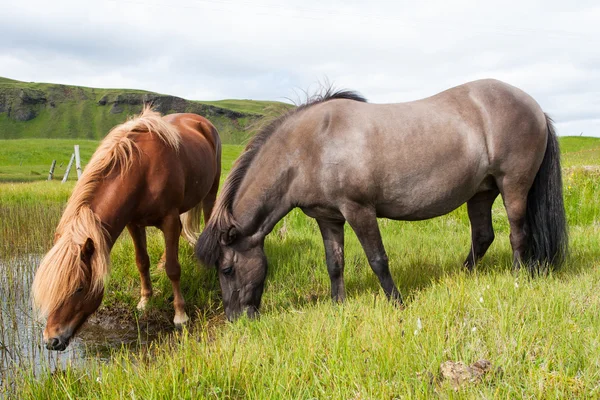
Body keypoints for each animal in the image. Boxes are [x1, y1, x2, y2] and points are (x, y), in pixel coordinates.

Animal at [31, 107, 221, 350]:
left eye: (79, 288)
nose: (51, 340)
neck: (143, 170)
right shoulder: (134, 224)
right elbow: (142, 262)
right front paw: (145, 301)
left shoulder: (169, 221)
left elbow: (173, 269)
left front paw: (180, 315)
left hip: (210, 193)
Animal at [196, 79, 568, 320]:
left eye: (226, 268)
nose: (237, 320)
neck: (310, 147)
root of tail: (535, 107)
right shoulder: (328, 217)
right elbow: (334, 263)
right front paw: (338, 306)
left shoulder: (359, 210)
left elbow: (378, 260)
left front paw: (397, 303)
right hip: (481, 191)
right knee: (483, 236)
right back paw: (463, 276)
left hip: (513, 185)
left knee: (518, 234)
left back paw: (518, 279)